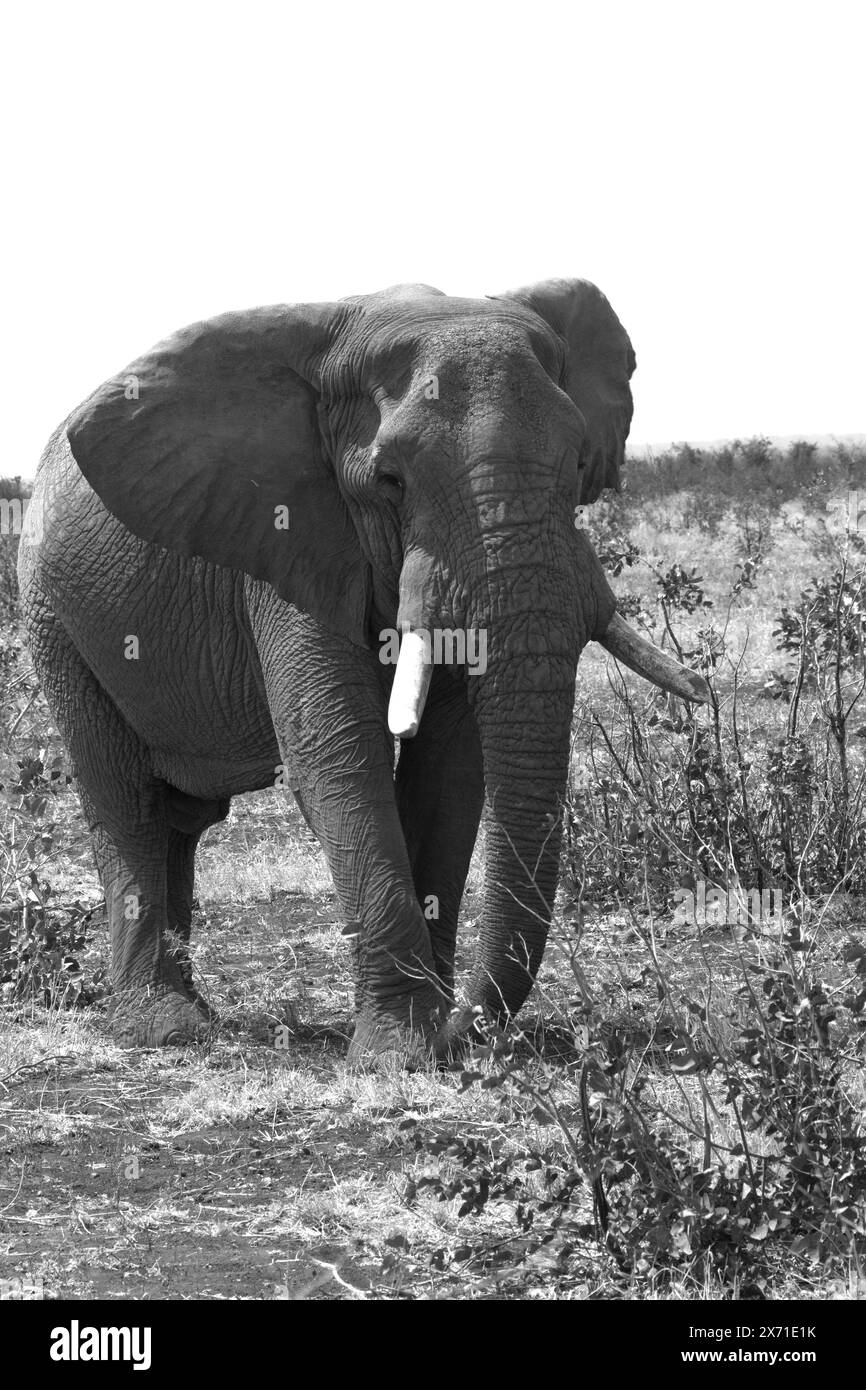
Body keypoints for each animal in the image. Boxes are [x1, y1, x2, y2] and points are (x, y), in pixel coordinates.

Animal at [16, 276, 711, 1056]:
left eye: (583, 463)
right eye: (390, 479)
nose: (469, 1028)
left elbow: (449, 768)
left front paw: (429, 1035)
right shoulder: (290, 536)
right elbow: (338, 753)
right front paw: (400, 1053)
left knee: (180, 820)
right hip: (53, 615)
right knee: (126, 802)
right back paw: (166, 1029)